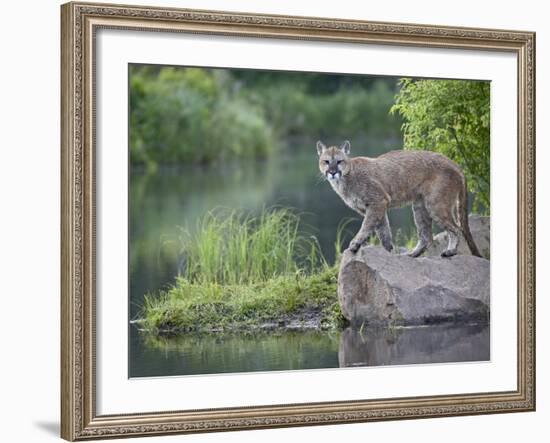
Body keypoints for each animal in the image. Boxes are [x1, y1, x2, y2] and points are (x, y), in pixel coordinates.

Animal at [320, 139, 484, 256]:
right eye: (326, 161)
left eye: (339, 161)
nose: (332, 172)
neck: (345, 178)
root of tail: (454, 163)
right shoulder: (376, 206)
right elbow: (383, 230)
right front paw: (388, 250)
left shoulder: (378, 201)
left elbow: (366, 226)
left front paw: (355, 244)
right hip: (419, 206)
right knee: (426, 236)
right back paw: (412, 254)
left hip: (435, 204)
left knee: (456, 229)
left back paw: (450, 251)